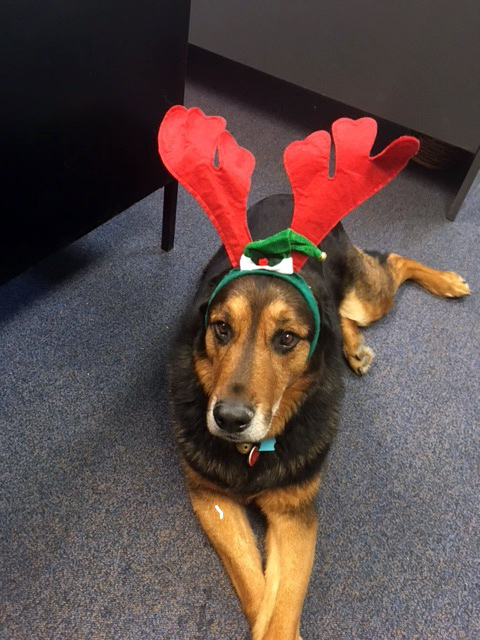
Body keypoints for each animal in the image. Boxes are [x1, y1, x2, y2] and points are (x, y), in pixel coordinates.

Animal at [166, 192, 468, 636]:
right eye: (221, 328)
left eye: (287, 338)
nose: (230, 420)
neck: (253, 452)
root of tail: (285, 195)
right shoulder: (212, 500)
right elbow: (257, 589)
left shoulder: (295, 516)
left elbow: (282, 609)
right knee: (345, 313)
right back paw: (354, 346)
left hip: (368, 297)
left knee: (392, 263)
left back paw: (447, 282)